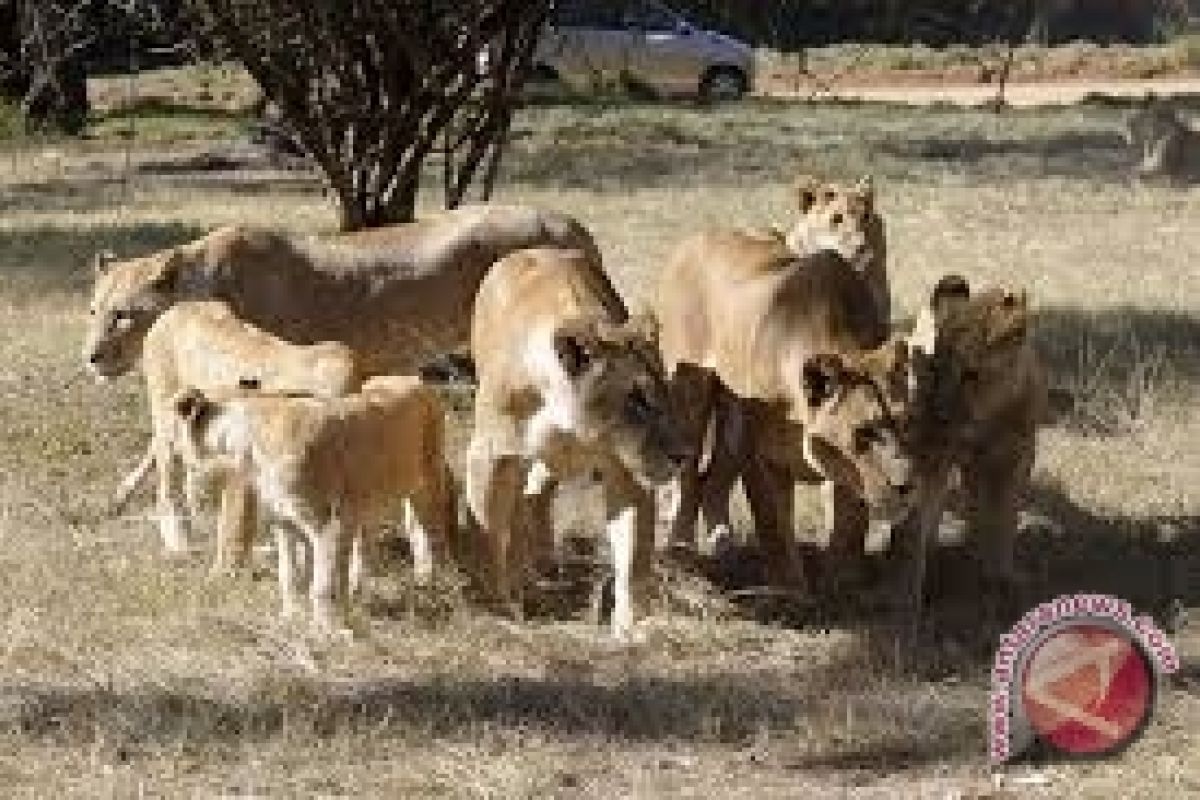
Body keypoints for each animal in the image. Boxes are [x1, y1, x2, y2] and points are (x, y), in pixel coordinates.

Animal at [175, 376, 456, 638]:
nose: (174, 451)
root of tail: (414, 379)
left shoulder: (329, 524)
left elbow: (322, 584)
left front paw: (328, 631)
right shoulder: (284, 521)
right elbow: (288, 573)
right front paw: (290, 618)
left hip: (428, 482)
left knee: (431, 534)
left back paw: (434, 585)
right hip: (367, 500)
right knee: (367, 542)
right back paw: (358, 589)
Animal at [468, 247, 696, 642]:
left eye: (665, 391)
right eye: (638, 399)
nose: (683, 455)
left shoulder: (626, 471)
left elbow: (632, 552)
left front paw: (631, 625)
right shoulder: (492, 455)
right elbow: (489, 536)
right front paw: (499, 609)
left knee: (536, 495)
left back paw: (541, 564)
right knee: (520, 504)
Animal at [657, 231, 916, 587]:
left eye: (904, 422)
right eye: (865, 430)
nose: (908, 487)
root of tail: (693, 240)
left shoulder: (848, 471)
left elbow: (850, 524)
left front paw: (844, 581)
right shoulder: (761, 455)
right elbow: (774, 527)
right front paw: (790, 589)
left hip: (732, 418)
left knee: (715, 476)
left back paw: (723, 543)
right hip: (691, 393)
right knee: (689, 473)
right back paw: (681, 548)